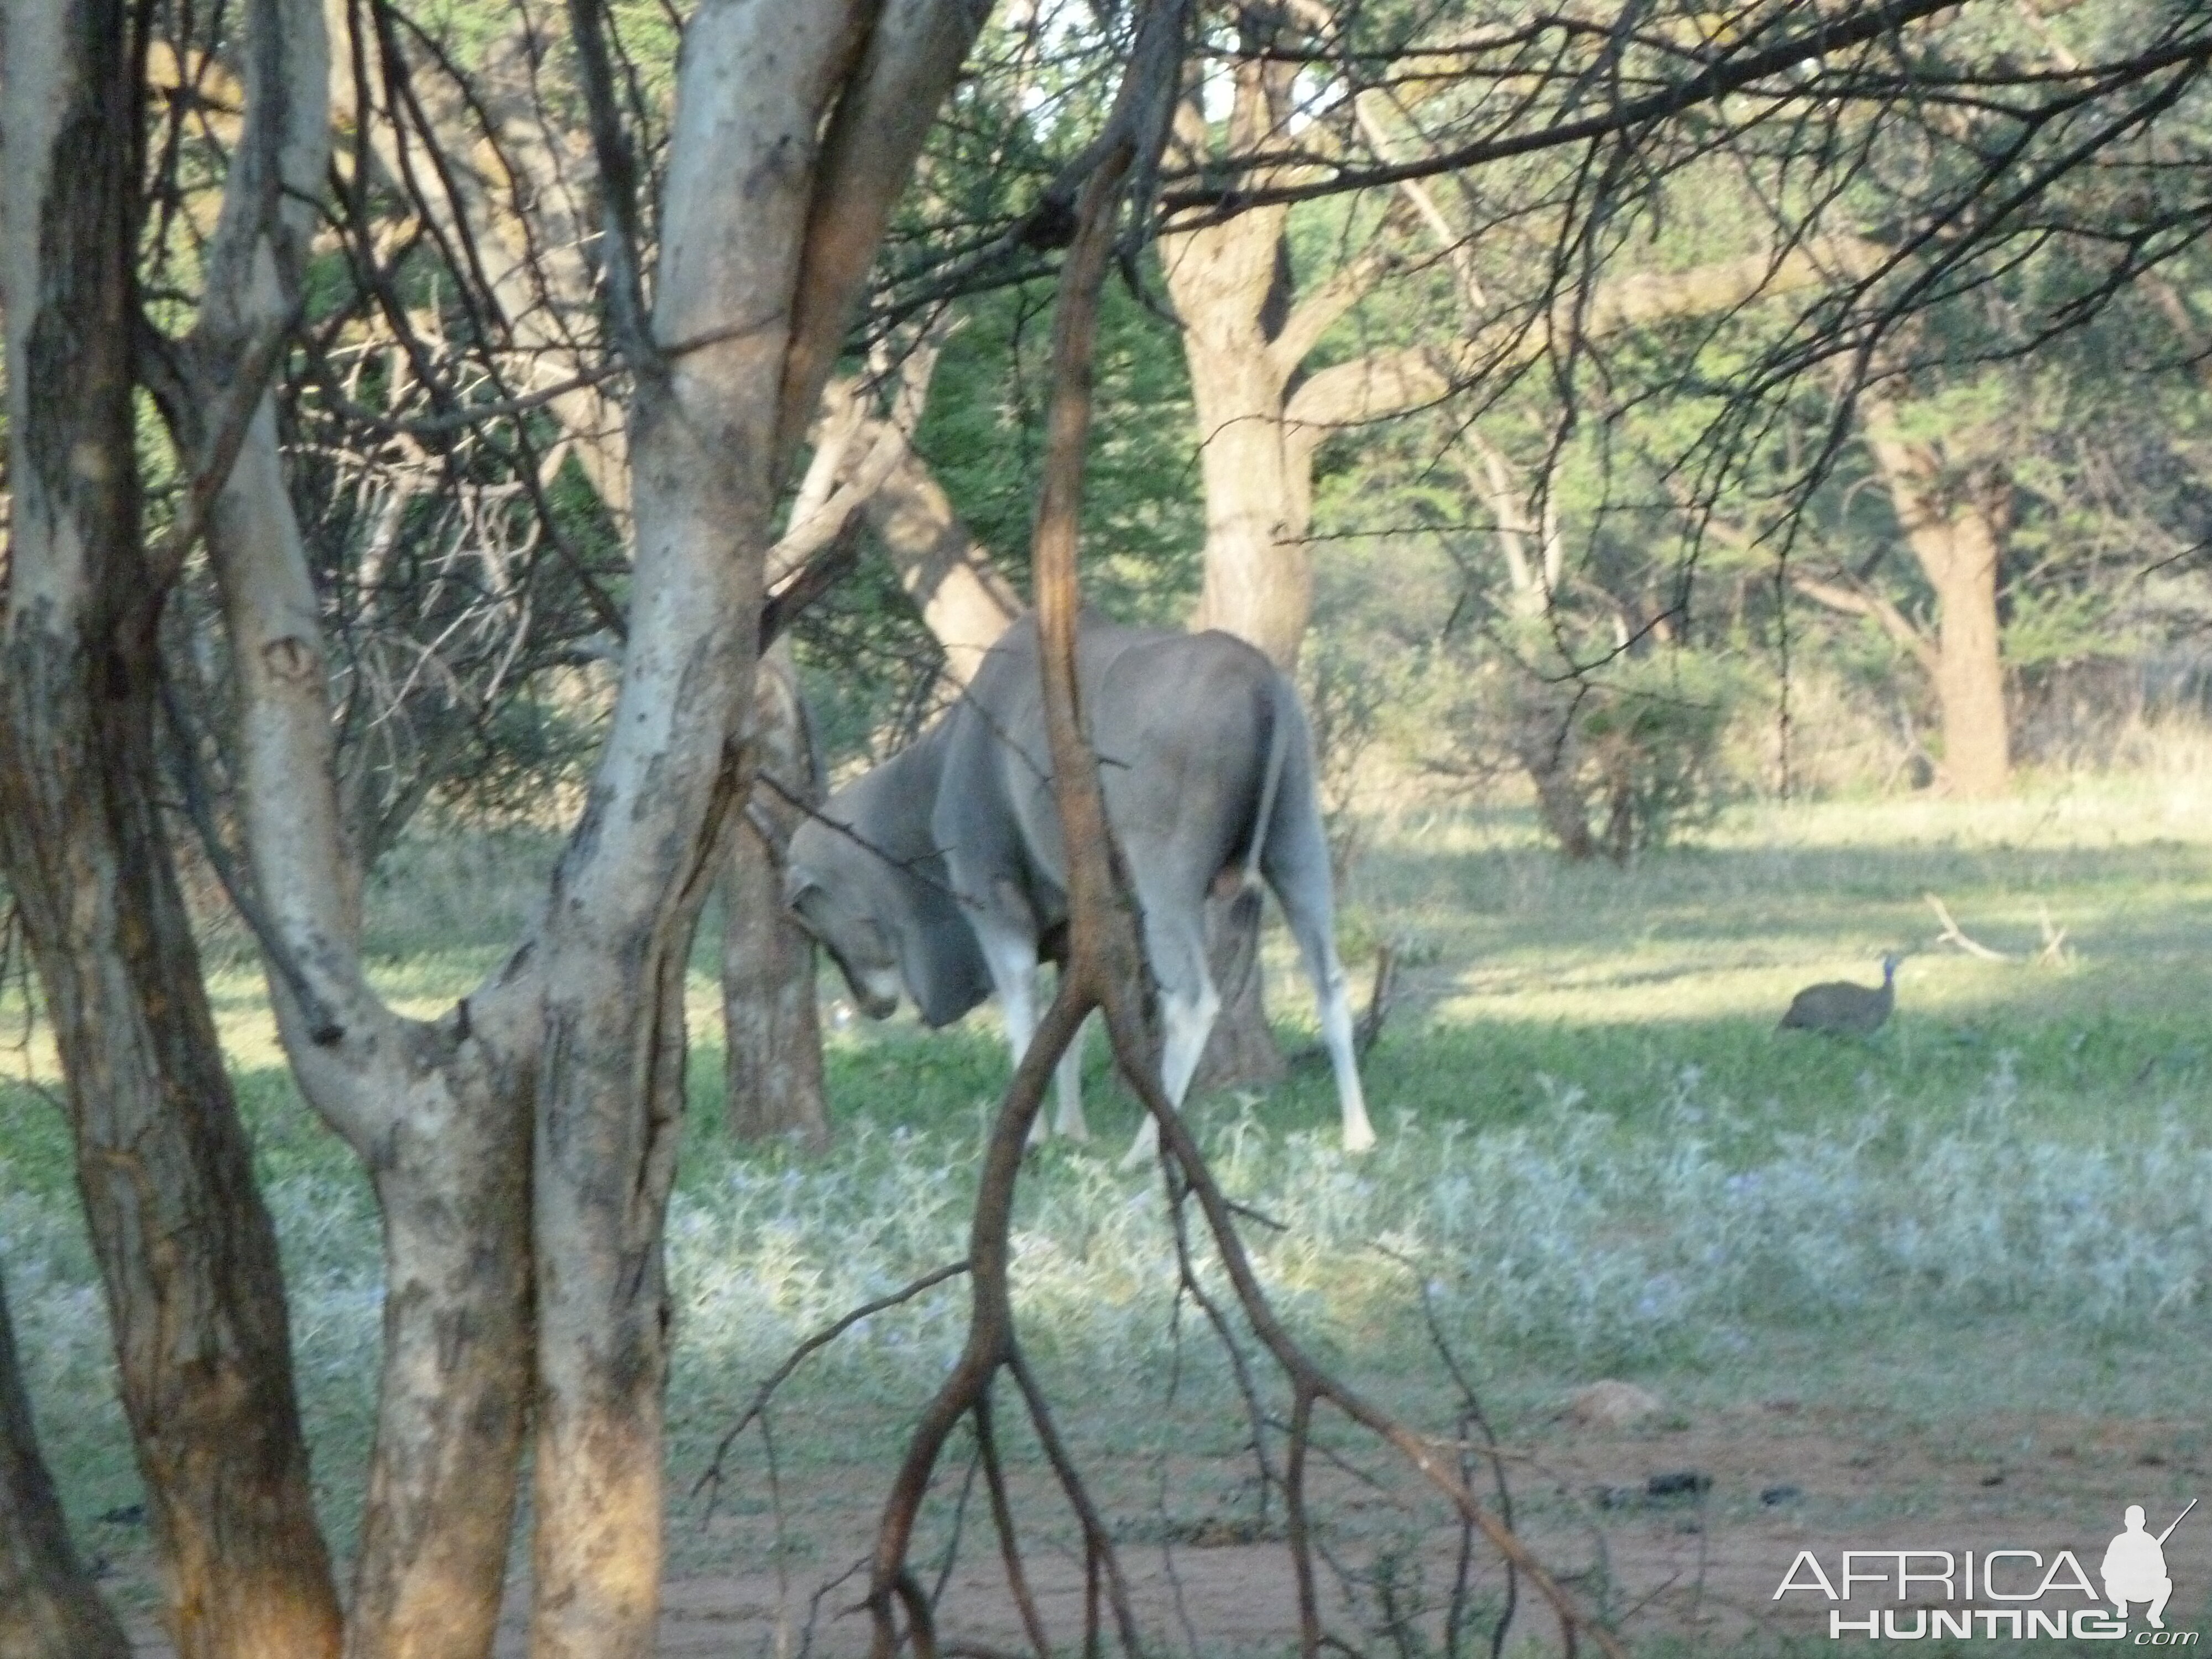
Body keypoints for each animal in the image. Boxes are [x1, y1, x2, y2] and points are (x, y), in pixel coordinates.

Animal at [787, 615, 1371, 1168]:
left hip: (1166, 886)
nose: (871, 1005)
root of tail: (1261, 679)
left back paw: (1144, 1151)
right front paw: (1073, 1131)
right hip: (1298, 847)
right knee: (1329, 980)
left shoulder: (993, 901)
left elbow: (1022, 1005)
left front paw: (1033, 1138)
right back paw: (1358, 1135)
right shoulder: (1076, 930)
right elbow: (1068, 1021)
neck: (937, 765)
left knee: (1193, 1001)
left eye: (812, 923)